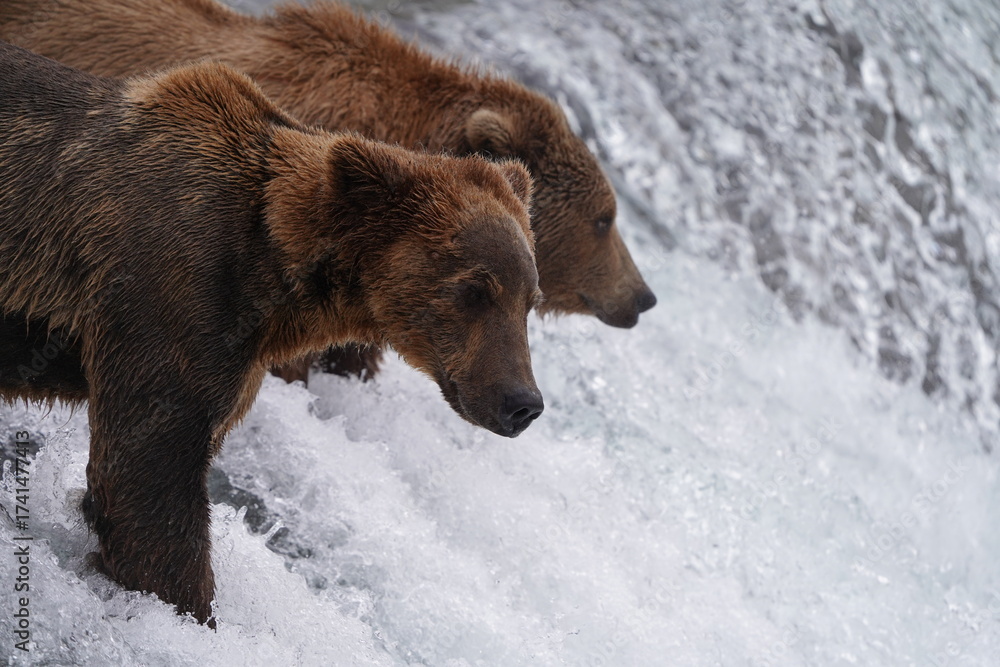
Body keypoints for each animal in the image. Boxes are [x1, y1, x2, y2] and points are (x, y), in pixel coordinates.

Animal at [0, 40, 544, 625]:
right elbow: (147, 478)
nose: (523, 402)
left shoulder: (234, 361)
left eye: (529, 299)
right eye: (475, 289)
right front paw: (191, 611)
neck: (278, 282)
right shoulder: (170, 293)